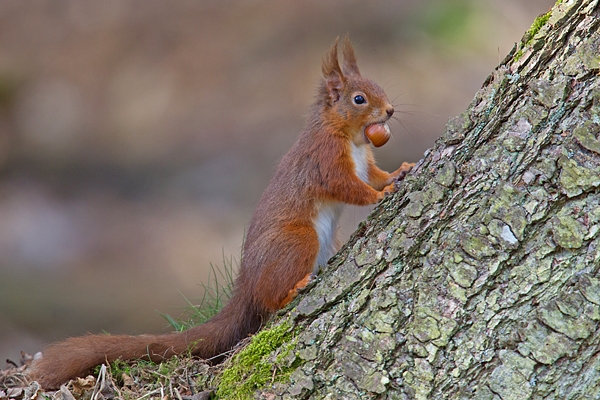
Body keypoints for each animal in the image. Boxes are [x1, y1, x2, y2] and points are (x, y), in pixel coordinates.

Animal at [28, 36, 412, 388]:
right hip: (297, 239)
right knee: (270, 298)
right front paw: (383, 193)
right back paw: (293, 290)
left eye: (378, 86)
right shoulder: (325, 161)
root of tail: (245, 286)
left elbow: (374, 174)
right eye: (359, 99)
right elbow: (351, 188)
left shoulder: (364, 163)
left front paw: (399, 172)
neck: (351, 138)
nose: (391, 110)